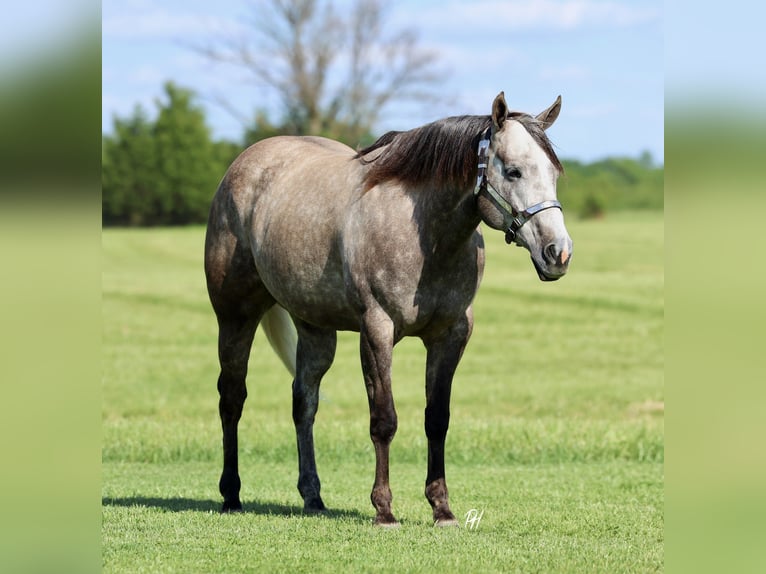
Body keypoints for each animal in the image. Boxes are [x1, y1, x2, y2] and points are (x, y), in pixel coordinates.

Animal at [204, 91, 573, 527]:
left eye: (553, 173)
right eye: (513, 172)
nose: (558, 253)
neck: (425, 236)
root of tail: (244, 164)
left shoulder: (450, 336)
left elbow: (437, 419)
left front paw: (442, 508)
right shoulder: (376, 331)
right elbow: (384, 420)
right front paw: (384, 510)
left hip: (315, 329)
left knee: (304, 403)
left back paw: (313, 497)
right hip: (235, 315)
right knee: (232, 397)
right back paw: (231, 494)